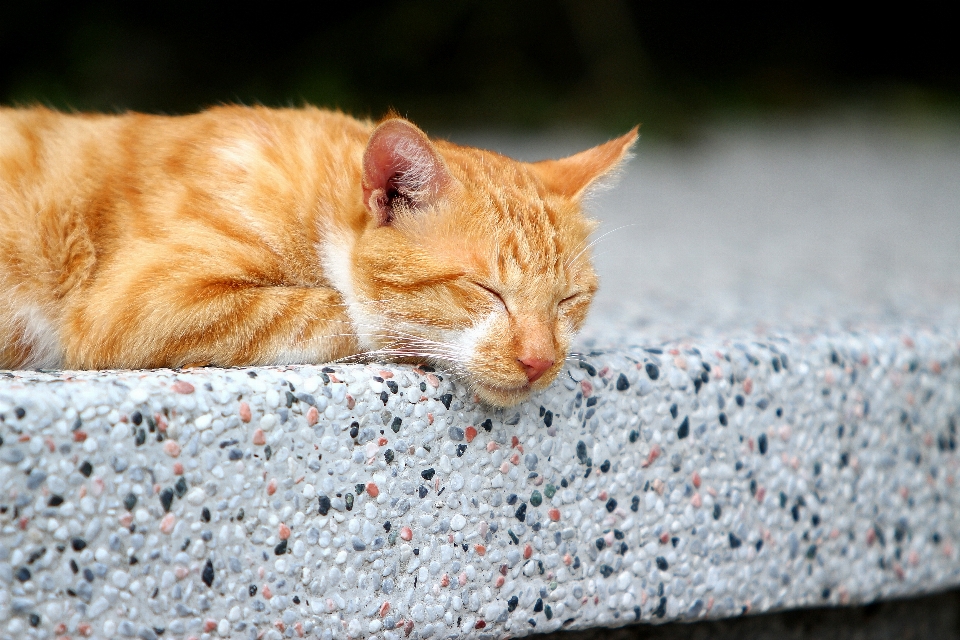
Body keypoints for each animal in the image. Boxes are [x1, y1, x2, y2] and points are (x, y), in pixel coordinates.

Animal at [1, 104, 636, 404]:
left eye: (569, 300)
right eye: (486, 290)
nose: (540, 362)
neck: (319, 199)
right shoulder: (140, 303)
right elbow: (335, 309)